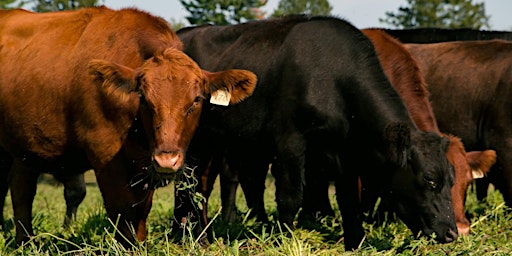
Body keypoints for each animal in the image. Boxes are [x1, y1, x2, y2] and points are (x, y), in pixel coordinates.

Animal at [0, 6, 256, 246]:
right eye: (143, 98)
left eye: (196, 100)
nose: (167, 159)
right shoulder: (105, 153)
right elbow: (122, 207)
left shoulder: (146, 162)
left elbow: (141, 209)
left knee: (21, 187)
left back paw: (24, 240)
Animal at [178, 15, 458, 251]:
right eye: (429, 179)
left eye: (451, 178)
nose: (452, 233)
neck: (331, 79)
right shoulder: (289, 142)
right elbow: (290, 196)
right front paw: (284, 241)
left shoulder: (345, 151)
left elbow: (348, 198)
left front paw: (355, 242)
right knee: (188, 184)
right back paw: (190, 235)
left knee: (203, 184)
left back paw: (196, 233)